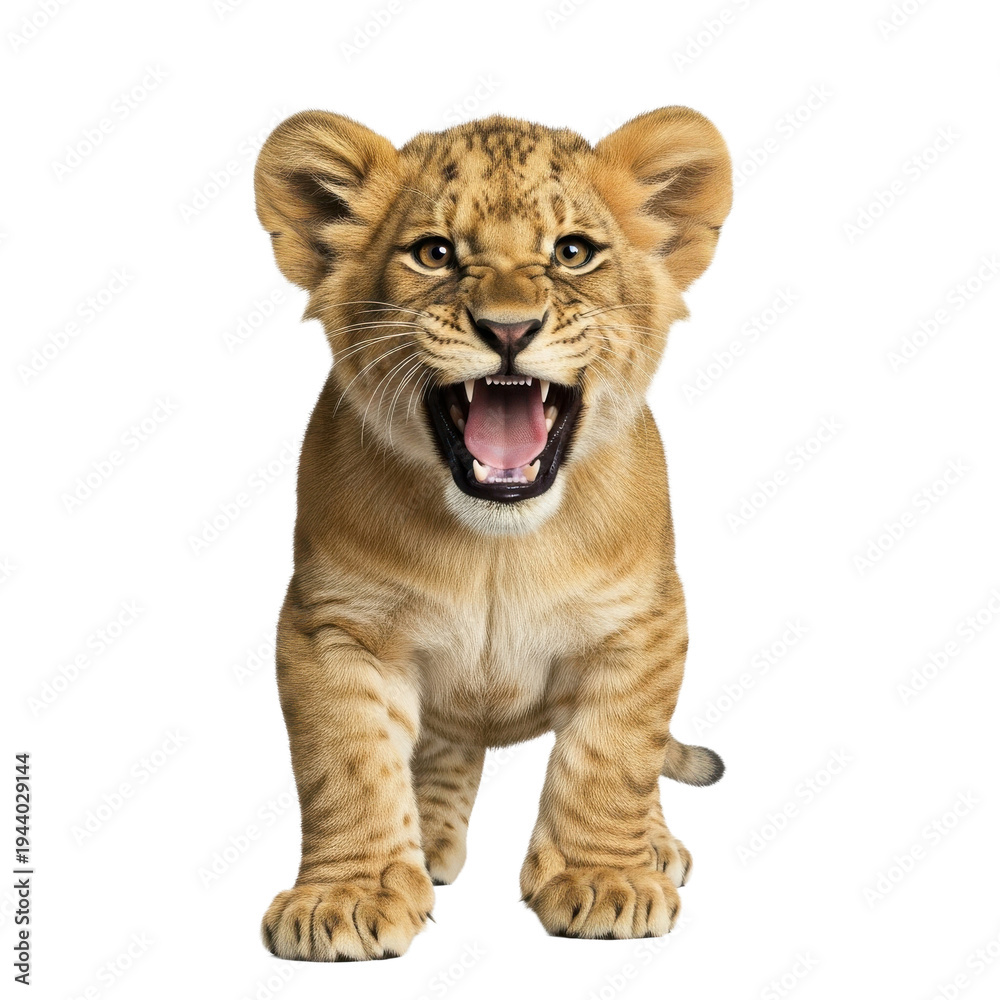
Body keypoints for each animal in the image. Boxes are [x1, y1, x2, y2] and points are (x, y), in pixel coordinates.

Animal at [253, 106, 732, 960]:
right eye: (435, 253)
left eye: (572, 253)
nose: (509, 329)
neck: (494, 548)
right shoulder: (330, 626)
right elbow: (346, 764)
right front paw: (347, 895)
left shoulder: (644, 625)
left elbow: (613, 754)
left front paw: (605, 879)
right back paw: (432, 842)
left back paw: (654, 847)